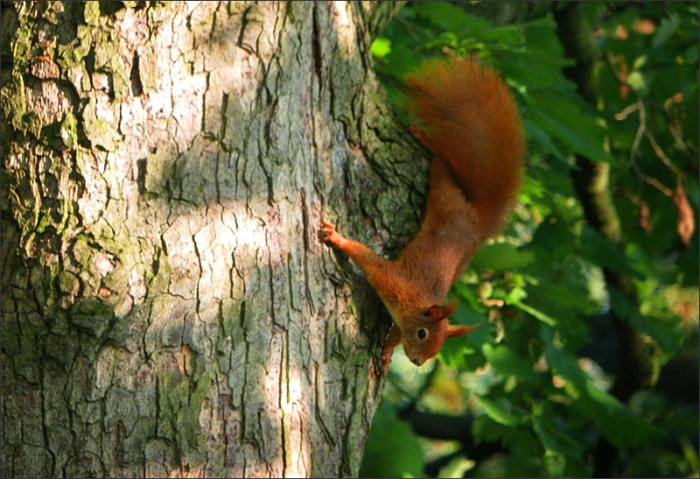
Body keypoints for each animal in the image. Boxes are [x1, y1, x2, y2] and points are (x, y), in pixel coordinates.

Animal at [319, 56, 525, 373]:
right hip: (445, 196)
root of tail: (477, 223)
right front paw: (337, 239)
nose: (417, 362)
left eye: (439, 346)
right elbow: (366, 259)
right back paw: (422, 138)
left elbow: (393, 332)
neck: (416, 302)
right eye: (422, 333)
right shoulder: (392, 282)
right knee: (440, 164)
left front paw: (387, 352)